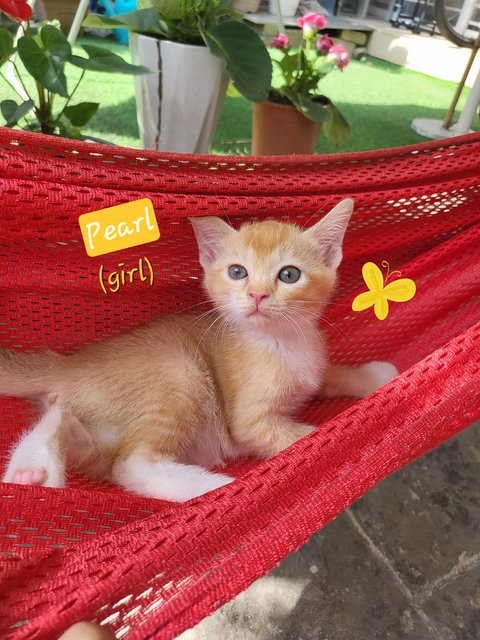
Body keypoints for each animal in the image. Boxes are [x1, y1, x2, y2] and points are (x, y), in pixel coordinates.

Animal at [0, 199, 398, 500]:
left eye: (289, 275)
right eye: (238, 272)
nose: (257, 295)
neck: (281, 341)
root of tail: (71, 364)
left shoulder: (312, 368)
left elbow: (330, 374)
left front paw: (374, 376)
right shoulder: (249, 421)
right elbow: (301, 437)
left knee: (62, 419)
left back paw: (31, 470)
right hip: (180, 374)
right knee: (132, 466)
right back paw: (216, 488)